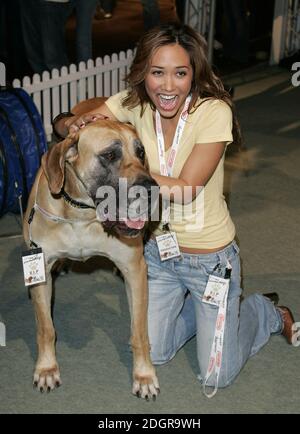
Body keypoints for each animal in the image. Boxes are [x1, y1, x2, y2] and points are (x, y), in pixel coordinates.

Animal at [23, 118, 161, 400]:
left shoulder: (135, 270)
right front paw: (46, 368)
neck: (81, 215)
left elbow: (139, 332)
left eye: (141, 152)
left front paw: (143, 375)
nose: (152, 189)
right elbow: (46, 328)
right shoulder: (41, 270)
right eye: (109, 155)